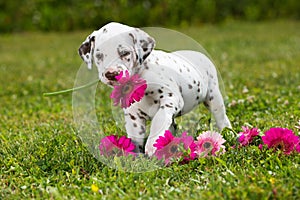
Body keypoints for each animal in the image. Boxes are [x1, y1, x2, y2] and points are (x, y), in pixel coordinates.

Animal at [78, 22, 231, 156]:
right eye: (98, 56)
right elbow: (135, 137)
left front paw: (152, 144)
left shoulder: (170, 99)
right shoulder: (133, 116)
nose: (111, 74)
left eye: (125, 53)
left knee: (221, 118)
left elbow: (159, 119)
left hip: (214, 97)